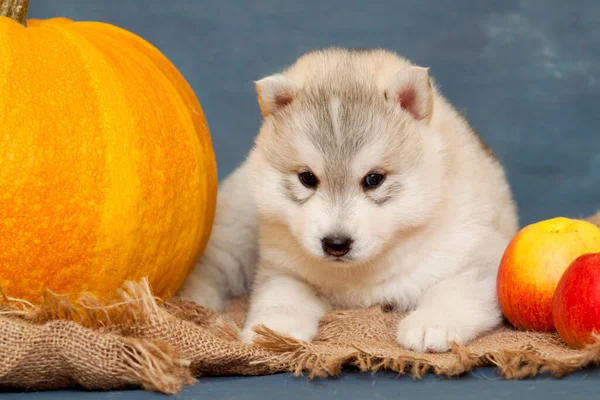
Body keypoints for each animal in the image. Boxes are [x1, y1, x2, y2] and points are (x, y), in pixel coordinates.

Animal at [180, 47, 516, 354]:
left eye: (374, 179)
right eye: (307, 178)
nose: (336, 244)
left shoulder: (482, 261)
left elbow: (455, 290)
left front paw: (431, 323)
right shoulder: (283, 268)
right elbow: (282, 296)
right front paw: (274, 329)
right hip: (237, 230)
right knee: (211, 267)